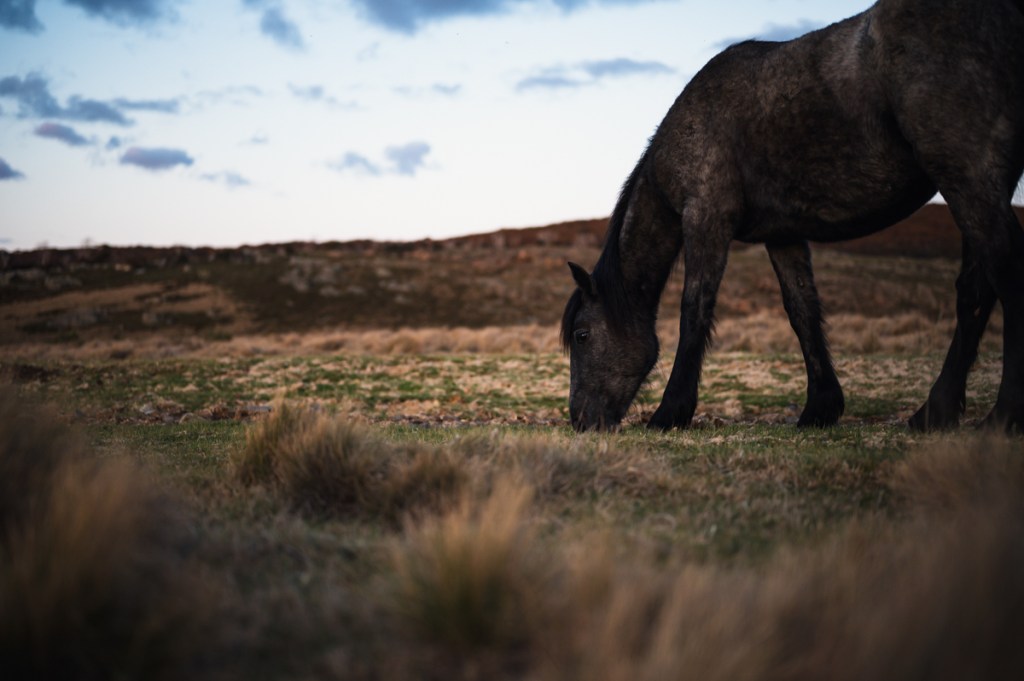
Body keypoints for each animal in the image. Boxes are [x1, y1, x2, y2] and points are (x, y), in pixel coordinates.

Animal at [561, 0, 1024, 432]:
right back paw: (934, 412)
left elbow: (695, 309)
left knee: (1004, 274)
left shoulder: (706, 217)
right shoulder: (783, 235)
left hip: (966, 175)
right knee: (974, 291)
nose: (580, 420)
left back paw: (1003, 417)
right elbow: (802, 310)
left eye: (582, 335)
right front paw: (821, 407)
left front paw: (670, 412)